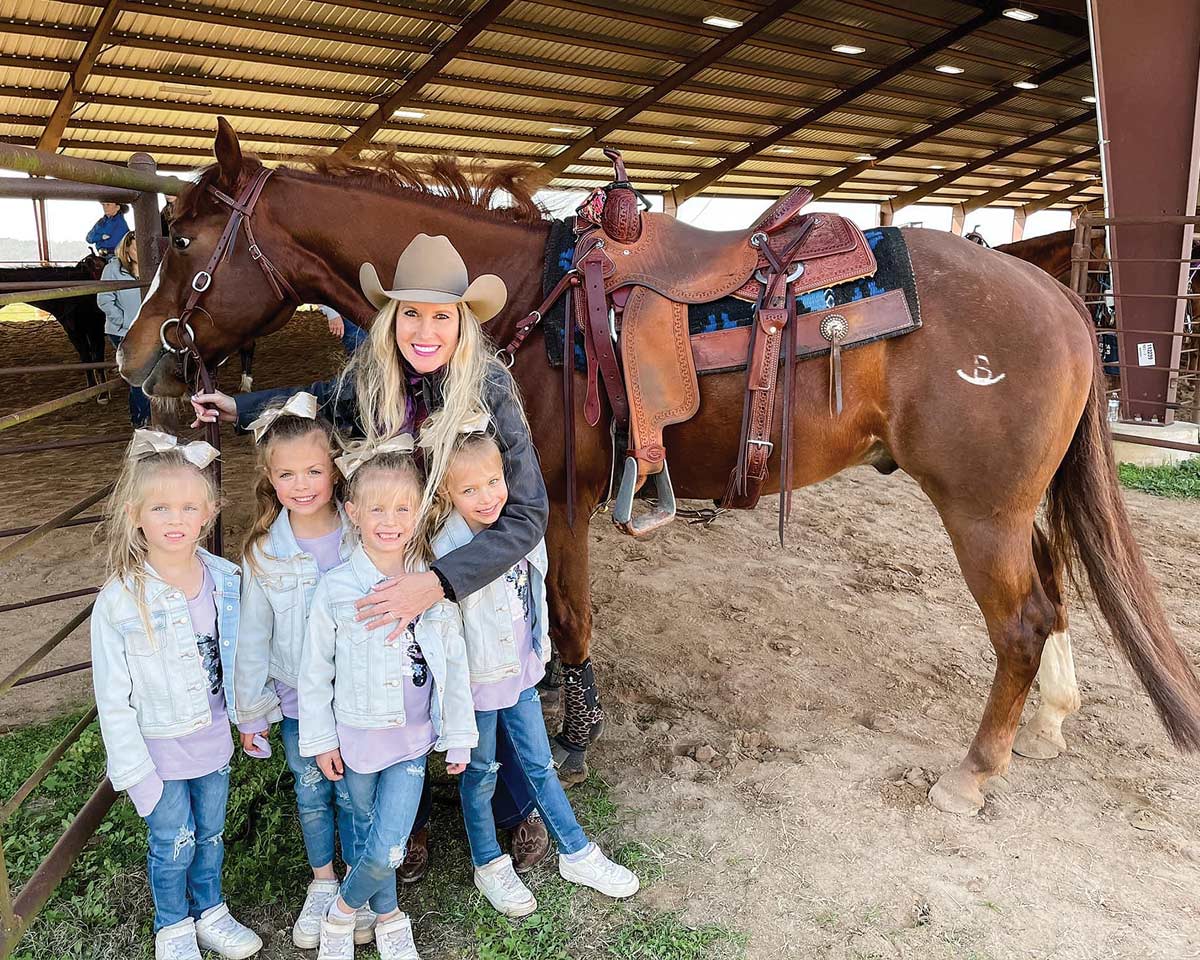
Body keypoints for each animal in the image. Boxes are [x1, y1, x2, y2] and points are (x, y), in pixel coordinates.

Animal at [114, 125, 1200, 816]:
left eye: (191, 238)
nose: (133, 354)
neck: (519, 303)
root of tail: (1061, 300)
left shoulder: (555, 500)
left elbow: (570, 617)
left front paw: (576, 735)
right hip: (1016, 505)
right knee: (1053, 596)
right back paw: (1046, 726)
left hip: (979, 509)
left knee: (1021, 622)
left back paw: (973, 773)